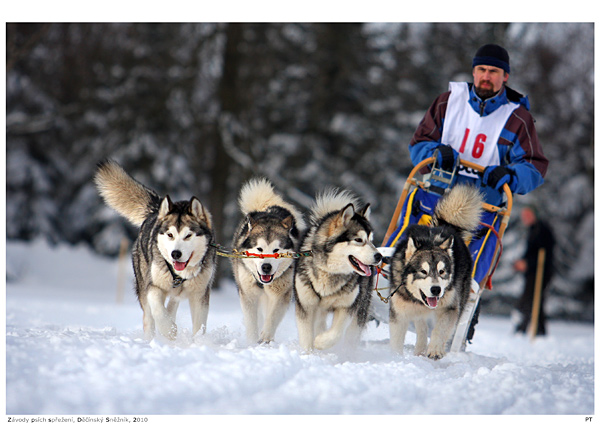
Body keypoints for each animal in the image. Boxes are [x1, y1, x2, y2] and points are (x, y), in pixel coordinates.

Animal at [94, 161, 216, 340]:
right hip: (143, 286)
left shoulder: (200, 294)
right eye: (170, 235)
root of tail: (156, 211)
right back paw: (151, 339)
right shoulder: (153, 287)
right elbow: (158, 310)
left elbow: (199, 326)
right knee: (149, 318)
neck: (180, 275)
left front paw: (199, 342)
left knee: (173, 303)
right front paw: (169, 330)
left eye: (188, 235)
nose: (175, 254)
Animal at [230, 178, 304, 344]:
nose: (266, 267)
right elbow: (252, 322)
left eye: (276, 250)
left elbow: (273, 316)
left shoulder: (282, 294)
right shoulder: (248, 294)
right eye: (259, 249)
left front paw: (266, 337)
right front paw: (252, 342)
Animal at [294, 189, 382, 350]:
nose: (379, 256)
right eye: (359, 240)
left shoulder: (347, 306)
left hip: (361, 308)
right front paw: (308, 352)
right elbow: (306, 335)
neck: (329, 272)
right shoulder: (306, 305)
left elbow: (336, 333)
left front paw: (321, 342)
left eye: (371, 240)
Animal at [390, 184, 482, 358]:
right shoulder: (400, 311)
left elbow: (440, 330)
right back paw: (420, 349)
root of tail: (447, 226)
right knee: (421, 327)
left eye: (442, 272)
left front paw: (435, 350)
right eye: (423, 272)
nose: (436, 290)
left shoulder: (450, 308)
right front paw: (395, 356)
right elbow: (398, 338)